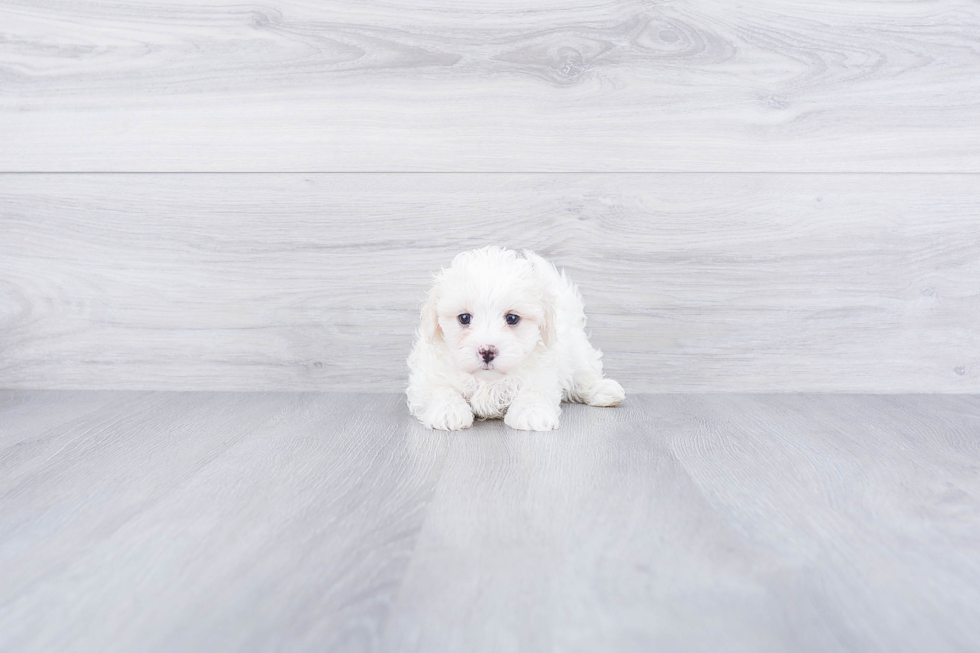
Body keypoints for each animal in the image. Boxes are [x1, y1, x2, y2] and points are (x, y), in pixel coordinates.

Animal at [408, 247, 628, 430]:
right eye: (464, 318)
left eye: (512, 318)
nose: (487, 351)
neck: (488, 380)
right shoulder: (427, 379)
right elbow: (442, 389)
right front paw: (448, 412)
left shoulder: (542, 375)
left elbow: (532, 391)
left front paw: (532, 414)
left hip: (578, 356)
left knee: (584, 377)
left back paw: (604, 390)